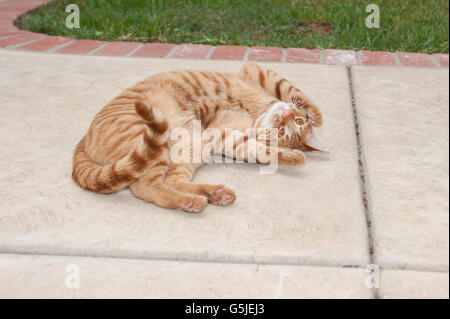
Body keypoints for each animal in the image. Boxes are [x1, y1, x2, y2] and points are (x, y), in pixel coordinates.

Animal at [71, 62, 326, 212]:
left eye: (283, 132)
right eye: (294, 123)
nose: (285, 115)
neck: (255, 117)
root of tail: (82, 141)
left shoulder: (223, 137)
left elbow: (261, 152)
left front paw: (291, 156)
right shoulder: (253, 70)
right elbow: (293, 91)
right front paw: (315, 115)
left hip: (190, 147)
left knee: (165, 182)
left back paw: (212, 195)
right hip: (162, 143)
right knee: (146, 186)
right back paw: (196, 200)